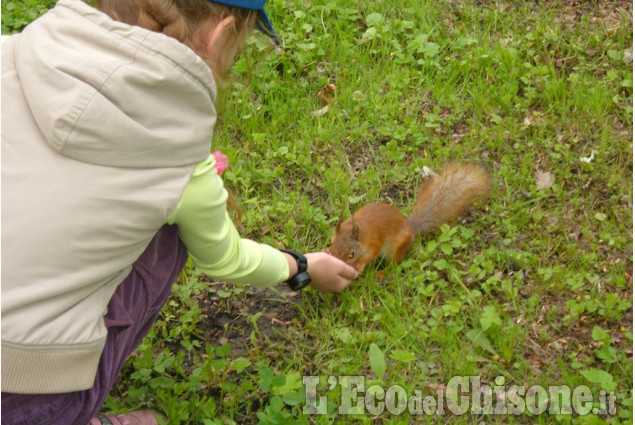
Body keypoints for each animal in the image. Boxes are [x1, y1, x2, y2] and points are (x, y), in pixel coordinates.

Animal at [328, 162, 492, 272]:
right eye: (332, 244)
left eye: (351, 254)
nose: (337, 265)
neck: (359, 230)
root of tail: (412, 232)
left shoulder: (374, 242)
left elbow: (371, 254)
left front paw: (361, 264)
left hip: (394, 249)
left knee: (395, 265)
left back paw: (381, 274)